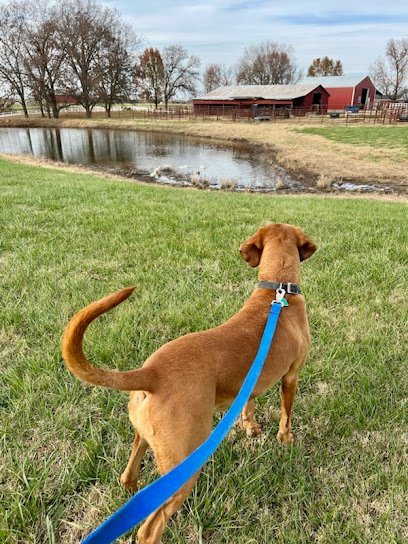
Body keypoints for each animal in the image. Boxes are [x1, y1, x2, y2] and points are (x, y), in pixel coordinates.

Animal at [62, 223, 317, 543]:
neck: (277, 294)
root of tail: (151, 372)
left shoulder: (251, 381)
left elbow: (249, 403)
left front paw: (250, 426)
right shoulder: (291, 376)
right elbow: (286, 414)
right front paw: (285, 439)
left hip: (145, 439)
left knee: (129, 477)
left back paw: (133, 491)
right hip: (184, 461)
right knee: (150, 527)